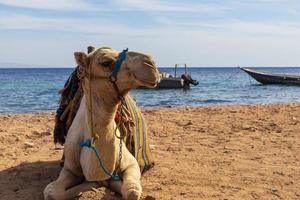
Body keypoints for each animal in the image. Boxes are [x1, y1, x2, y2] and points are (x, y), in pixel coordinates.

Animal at [43, 47, 161, 200]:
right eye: (106, 62)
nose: (150, 63)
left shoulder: (131, 163)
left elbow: (132, 191)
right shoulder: (69, 168)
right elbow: (51, 192)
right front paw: (87, 187)